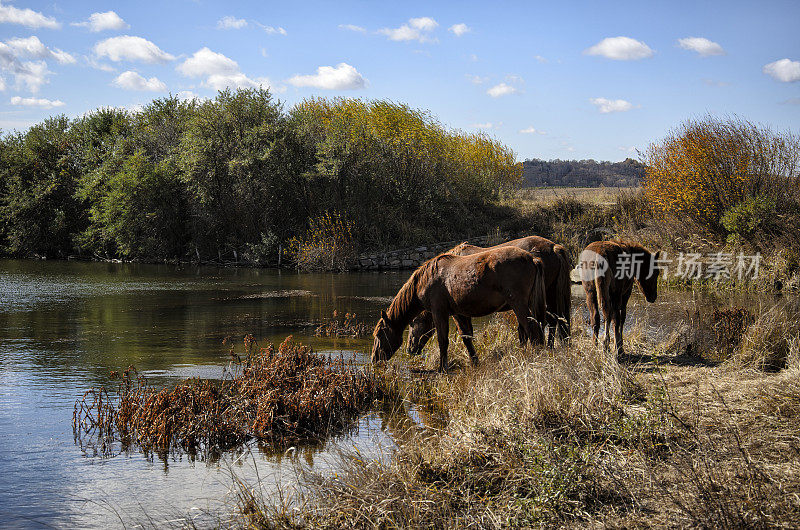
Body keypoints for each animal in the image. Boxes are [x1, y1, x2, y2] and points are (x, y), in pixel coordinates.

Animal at [372, 244, 548, 372]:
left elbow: (443, 340)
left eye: (380, 334)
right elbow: (466, 337)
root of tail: (532, 259)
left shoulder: (439, 312)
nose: (374, 358)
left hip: (519, 304)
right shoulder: (458, 313)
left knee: (531, 329)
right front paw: (474, 362)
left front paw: (442, 368)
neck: (425, 281)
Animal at [406, 234, 576, 350]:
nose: (410, 348)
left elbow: (467, 334)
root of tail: (554, 247)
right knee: (555, 319)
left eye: (412, 322)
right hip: (550, 292)